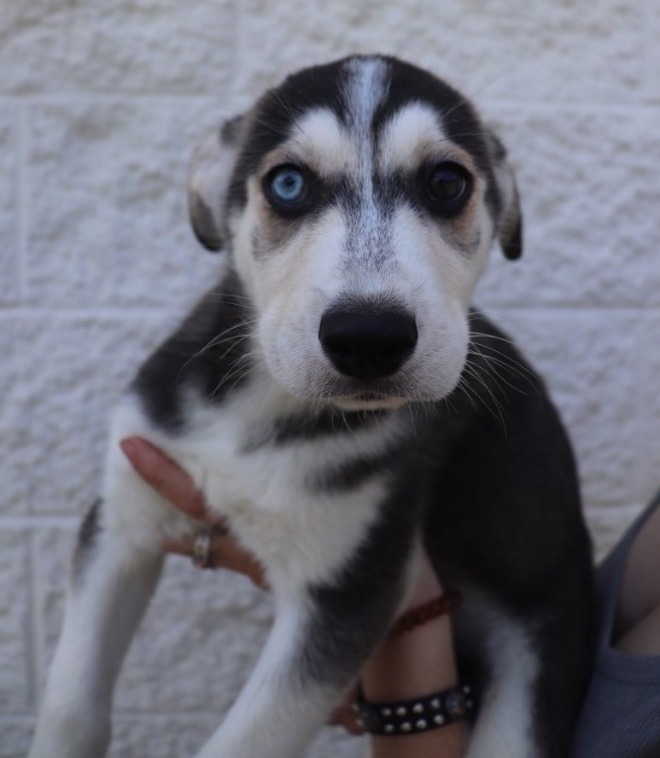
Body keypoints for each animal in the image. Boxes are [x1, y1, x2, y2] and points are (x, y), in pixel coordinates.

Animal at [29, 55, 592, 758]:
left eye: (447, 182)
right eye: (289, 183)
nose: (369, 338)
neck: (261, 406)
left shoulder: (347, 588)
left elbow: (242, 742)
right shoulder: (120, 517)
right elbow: (69, 704)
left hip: (532, 669)